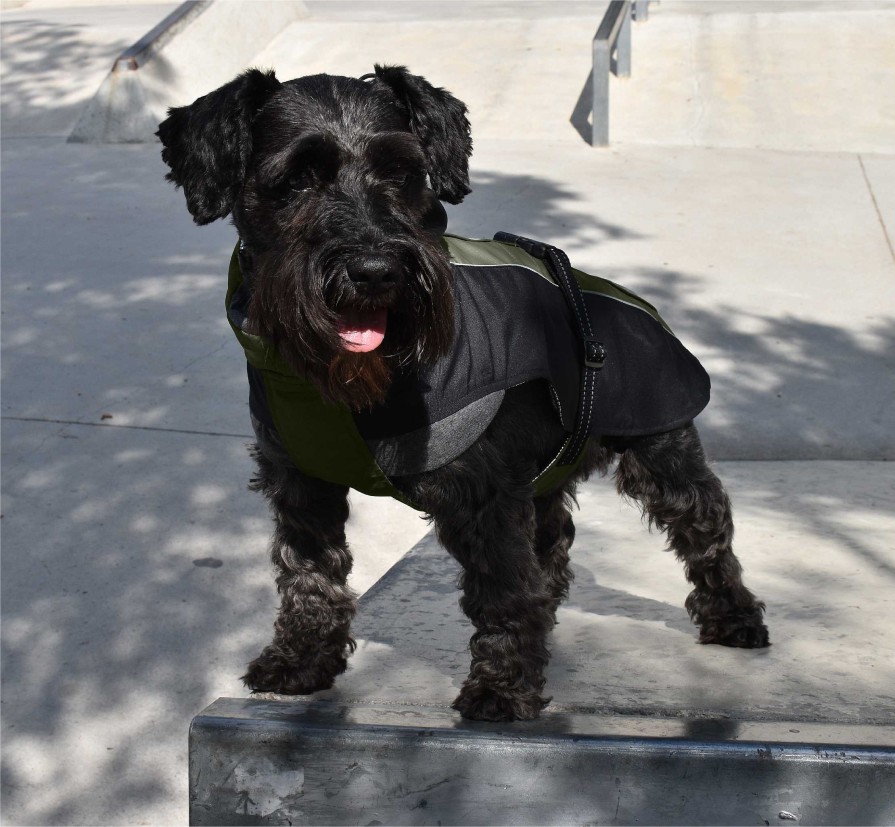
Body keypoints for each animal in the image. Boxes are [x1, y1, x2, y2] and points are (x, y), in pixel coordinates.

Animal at [156, 68, 768, 720]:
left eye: (402, 173)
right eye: (295, 181)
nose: (376, 270)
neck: (349, 382)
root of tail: (643, 310)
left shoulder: (485, 495)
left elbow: (501, 592)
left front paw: (500, 688)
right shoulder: (302, 480)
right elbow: (308, 573)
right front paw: (300, 661)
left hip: (662, 452)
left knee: (706, 526)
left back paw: (734, 615)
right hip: (545, 470)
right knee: (553, 542)